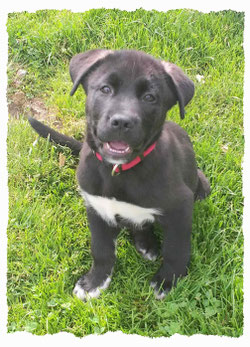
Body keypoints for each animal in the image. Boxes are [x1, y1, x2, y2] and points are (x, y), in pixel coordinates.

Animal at [28, 47, 210, 300]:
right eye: (106, 89)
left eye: (150, 97)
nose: (122, 122)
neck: (119, 170)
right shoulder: (96, 207)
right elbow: (101, 249)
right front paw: (94, 282)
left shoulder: (180, 207)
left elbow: (176, 249)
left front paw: (167, 281)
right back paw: (146, 244)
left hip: (201, 184)